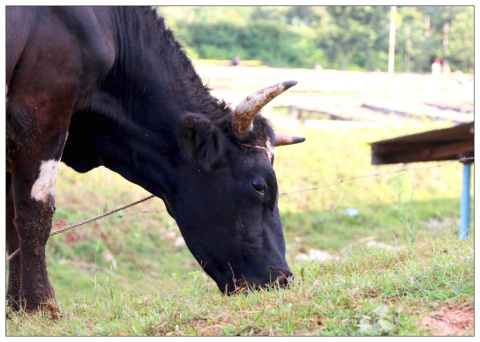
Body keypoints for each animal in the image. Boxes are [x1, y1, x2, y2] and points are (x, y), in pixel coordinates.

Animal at [5, 6, 306, 312]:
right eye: (259, 185)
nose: (282, 279)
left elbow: (10, 219)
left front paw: (16, 305)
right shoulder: (42, 112)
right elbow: (35, 213)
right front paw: (40, 304)